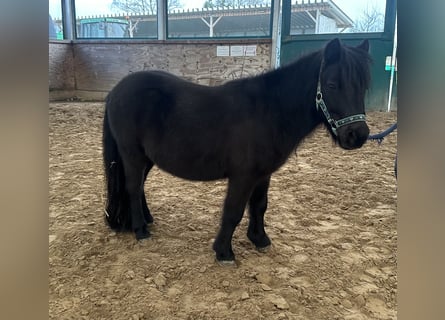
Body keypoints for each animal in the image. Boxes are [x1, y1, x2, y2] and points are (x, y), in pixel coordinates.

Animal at [102, 38, 370, 262]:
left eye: (364, 86)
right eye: (332, 84)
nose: (358, 135)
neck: (268, 111)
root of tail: (116, 91)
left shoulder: (263, 174)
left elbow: (260, 205)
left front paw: (260, 239)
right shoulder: (243, 176)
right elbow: (233, 210)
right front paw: (224, 252)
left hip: (147, 158)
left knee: (139, 187)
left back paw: (147, 221)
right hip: (132, 154)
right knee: (133, 188)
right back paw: (140, 231)